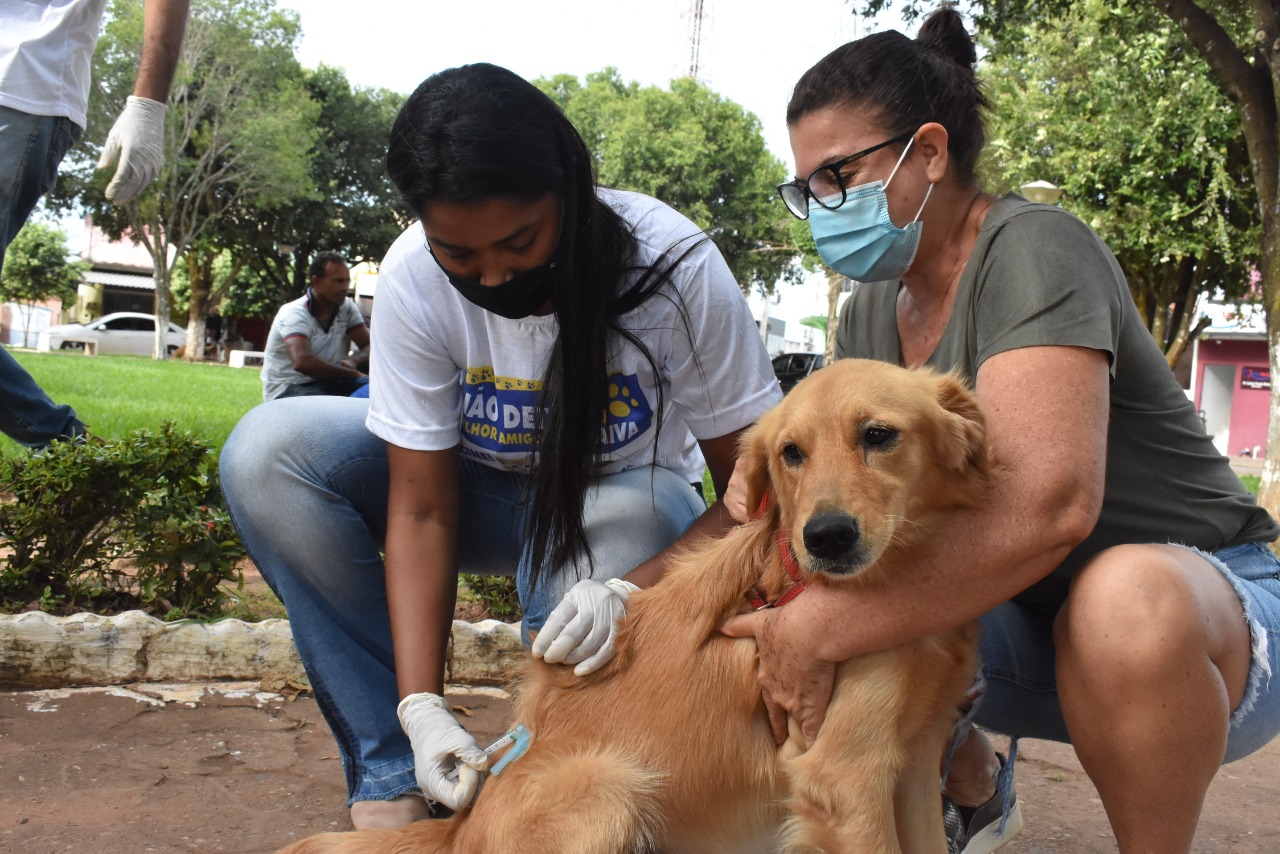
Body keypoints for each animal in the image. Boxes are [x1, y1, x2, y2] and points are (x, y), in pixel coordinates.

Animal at [285, 358, 993, 854]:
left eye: (879, 435)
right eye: (791, 454)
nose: (825, 538)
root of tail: (461, 826)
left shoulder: (913, 763)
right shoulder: (846, 779)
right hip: (606, 788)